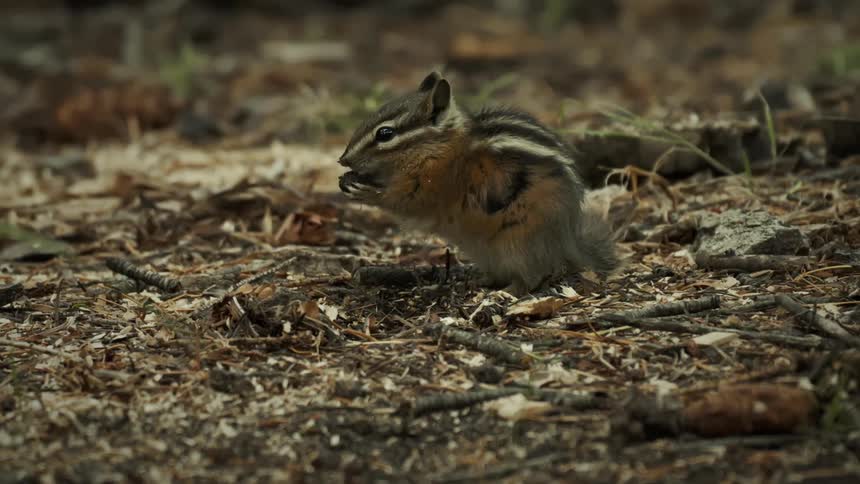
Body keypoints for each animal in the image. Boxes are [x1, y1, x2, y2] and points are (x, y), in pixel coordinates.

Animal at [338, 71, 618, 295]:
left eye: (385, 134)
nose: (343, 160)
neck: (440, 149)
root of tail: (567, 238)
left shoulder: (432, 186)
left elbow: (403, 200)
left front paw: (366, 192)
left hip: (519, 244)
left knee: (533, 277)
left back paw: (507, 291)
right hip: (486, 251)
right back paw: (478, 281)